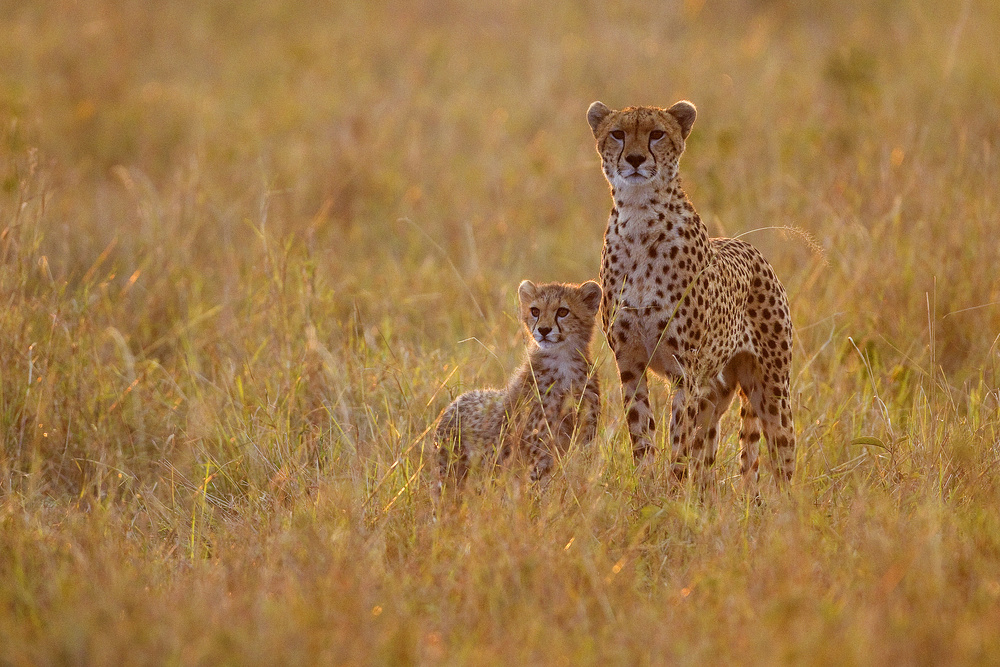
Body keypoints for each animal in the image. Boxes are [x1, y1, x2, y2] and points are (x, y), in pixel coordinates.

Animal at [588, 100, 792, 486]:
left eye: (657, 134)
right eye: (617, 133)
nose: (635, 159)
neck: (639, 218)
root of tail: (752, 248)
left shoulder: (687, 369)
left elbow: (680, 439)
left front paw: (672, 488)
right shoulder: (629, 362)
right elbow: (642, 434)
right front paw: (647, 488)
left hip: (772, 388)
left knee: (782, 457)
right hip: (717, 391)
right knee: (708, 460)